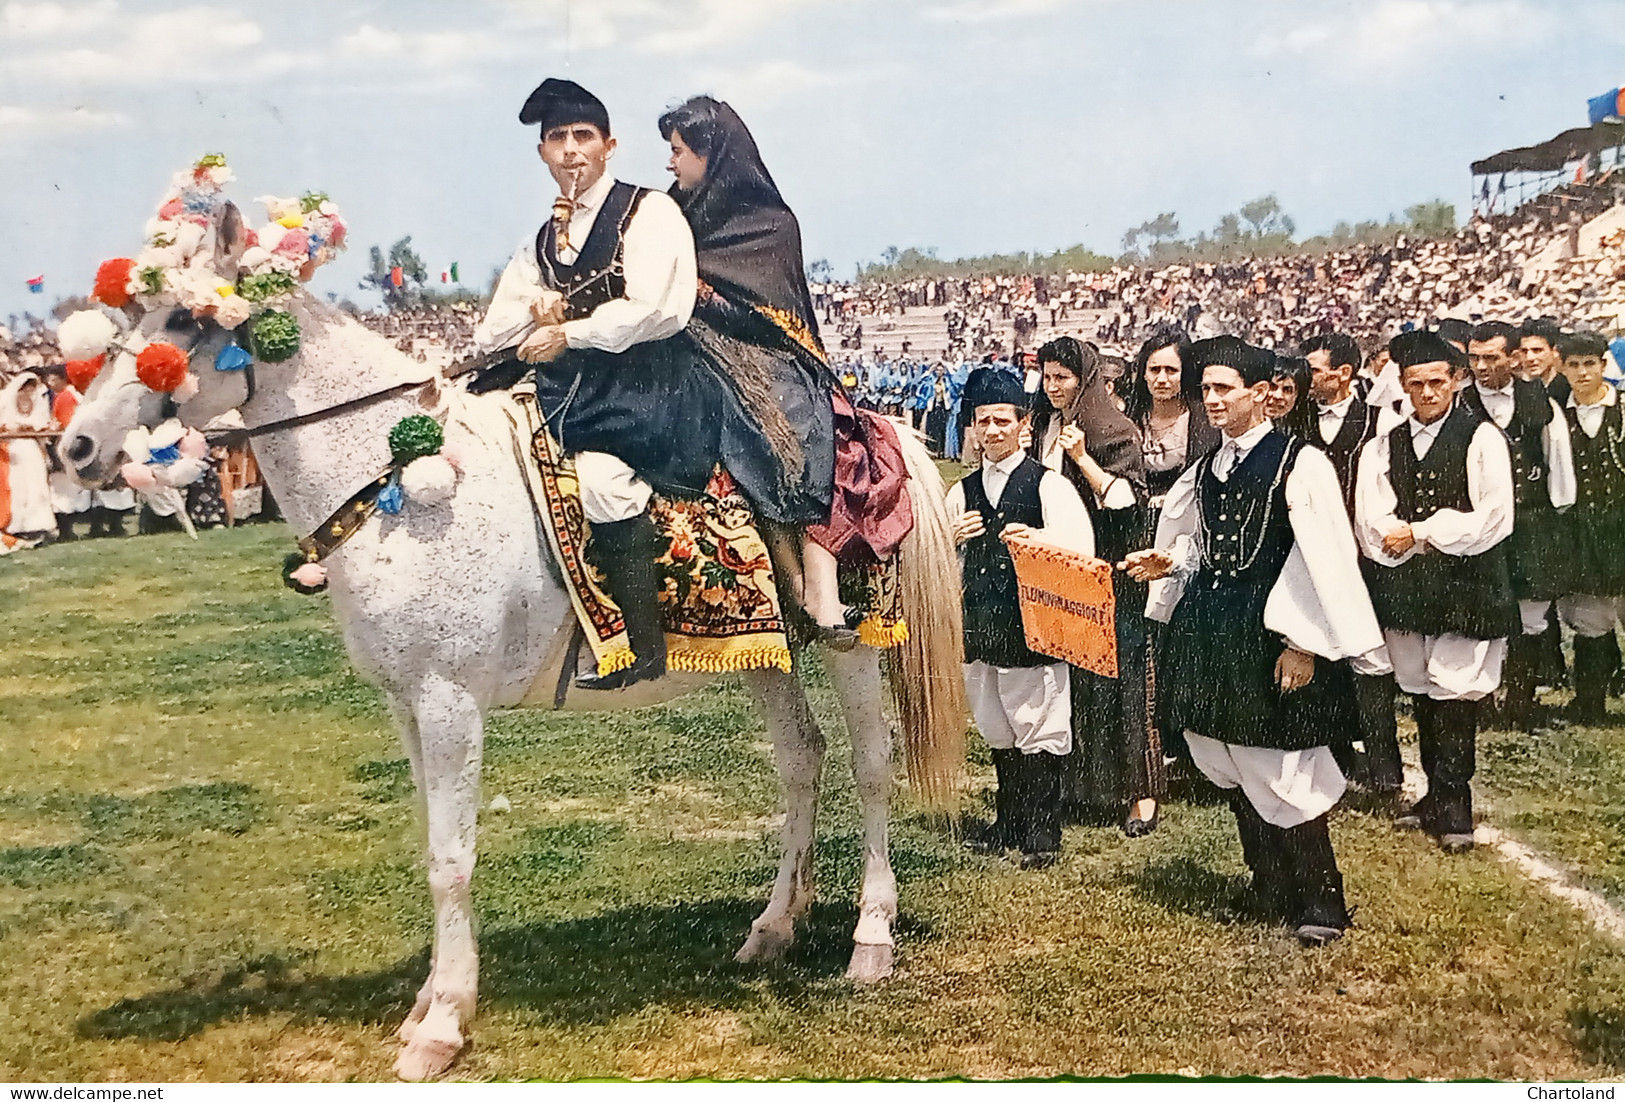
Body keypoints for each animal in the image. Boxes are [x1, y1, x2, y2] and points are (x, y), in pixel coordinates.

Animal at [63, 207, 968, 1079]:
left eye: (185, 317)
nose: (77, 446)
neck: (402, 485)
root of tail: (875, 426)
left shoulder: (447, 702)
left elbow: (451, 858)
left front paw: (441, 1025)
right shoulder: (406, 708)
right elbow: (433, 846)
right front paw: (426, 1005)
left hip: (852, 645)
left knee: (871, 764)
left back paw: (869, 940)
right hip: (761, 655)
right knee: (799, 759)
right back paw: (772, 928)